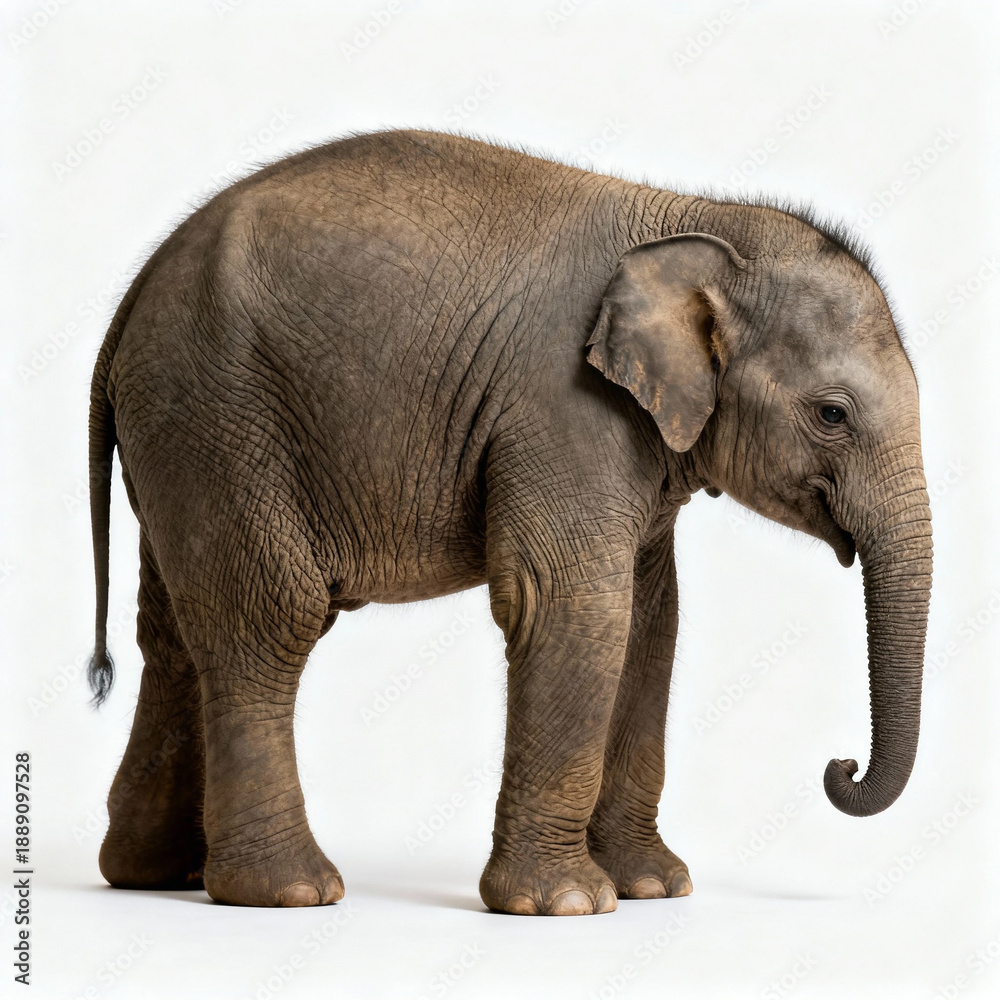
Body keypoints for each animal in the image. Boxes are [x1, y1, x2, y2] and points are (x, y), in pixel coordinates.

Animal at [87, 129, 932, 915]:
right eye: (832, 414)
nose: (841, 766)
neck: (698, 220)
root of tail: (133, 295)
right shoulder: (562, 409)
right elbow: (572, 604)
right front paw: (567, 903)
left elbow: (650, 622)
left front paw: (654, 887)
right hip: (219, 415)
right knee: (268, 619)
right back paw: (288, 892)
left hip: (181, 436)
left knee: (175, 634)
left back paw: (154, 876)